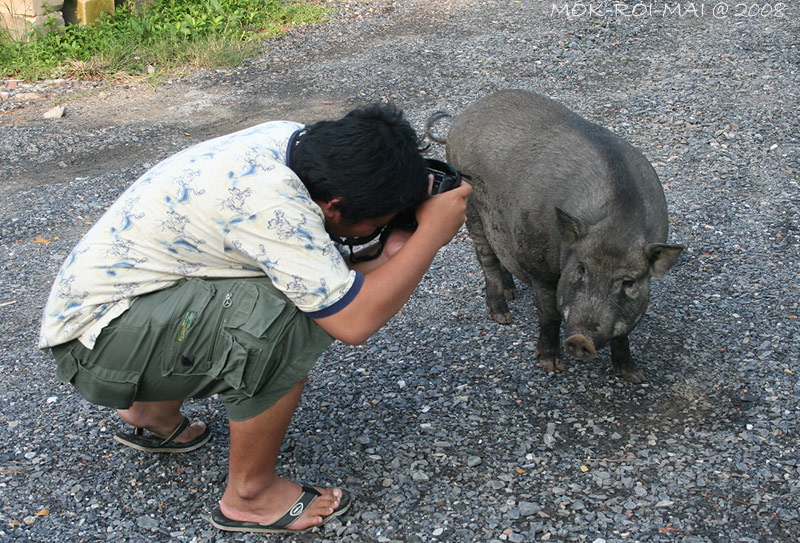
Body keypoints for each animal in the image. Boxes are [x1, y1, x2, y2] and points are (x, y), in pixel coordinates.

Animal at [428, 90, 684, 382]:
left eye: (628, 282)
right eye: (581, 269)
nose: (581, 340)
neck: (618, 225)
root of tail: (461, 118)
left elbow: (624, 334)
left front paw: (634, 376)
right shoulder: (540, 268)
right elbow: (550, 316)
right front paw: (551, 365)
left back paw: (512, 293)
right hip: (471, 210)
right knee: (487, 260)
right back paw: (503, 316)